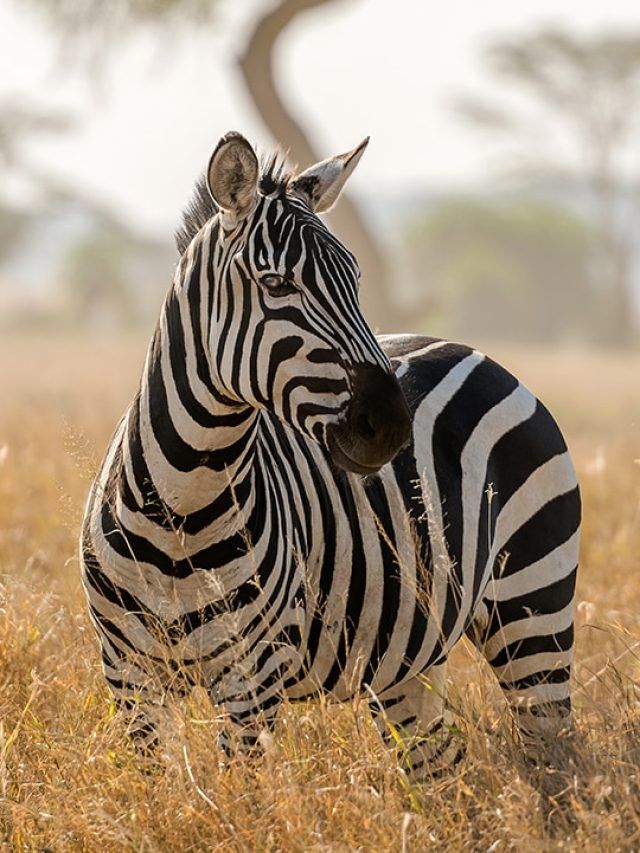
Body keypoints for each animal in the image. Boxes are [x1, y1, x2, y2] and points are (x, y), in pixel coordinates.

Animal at [81, 131, 581, 778]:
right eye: (276, 285)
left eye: (355, 280)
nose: (390, 426)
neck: (181, 506)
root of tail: (468, 349)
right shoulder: (129, 678)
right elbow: (157, 793)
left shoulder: (253, 680)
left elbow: (241, 798)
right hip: (408, 658)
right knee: (443, 765)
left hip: (533, 606)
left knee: (557, 760)